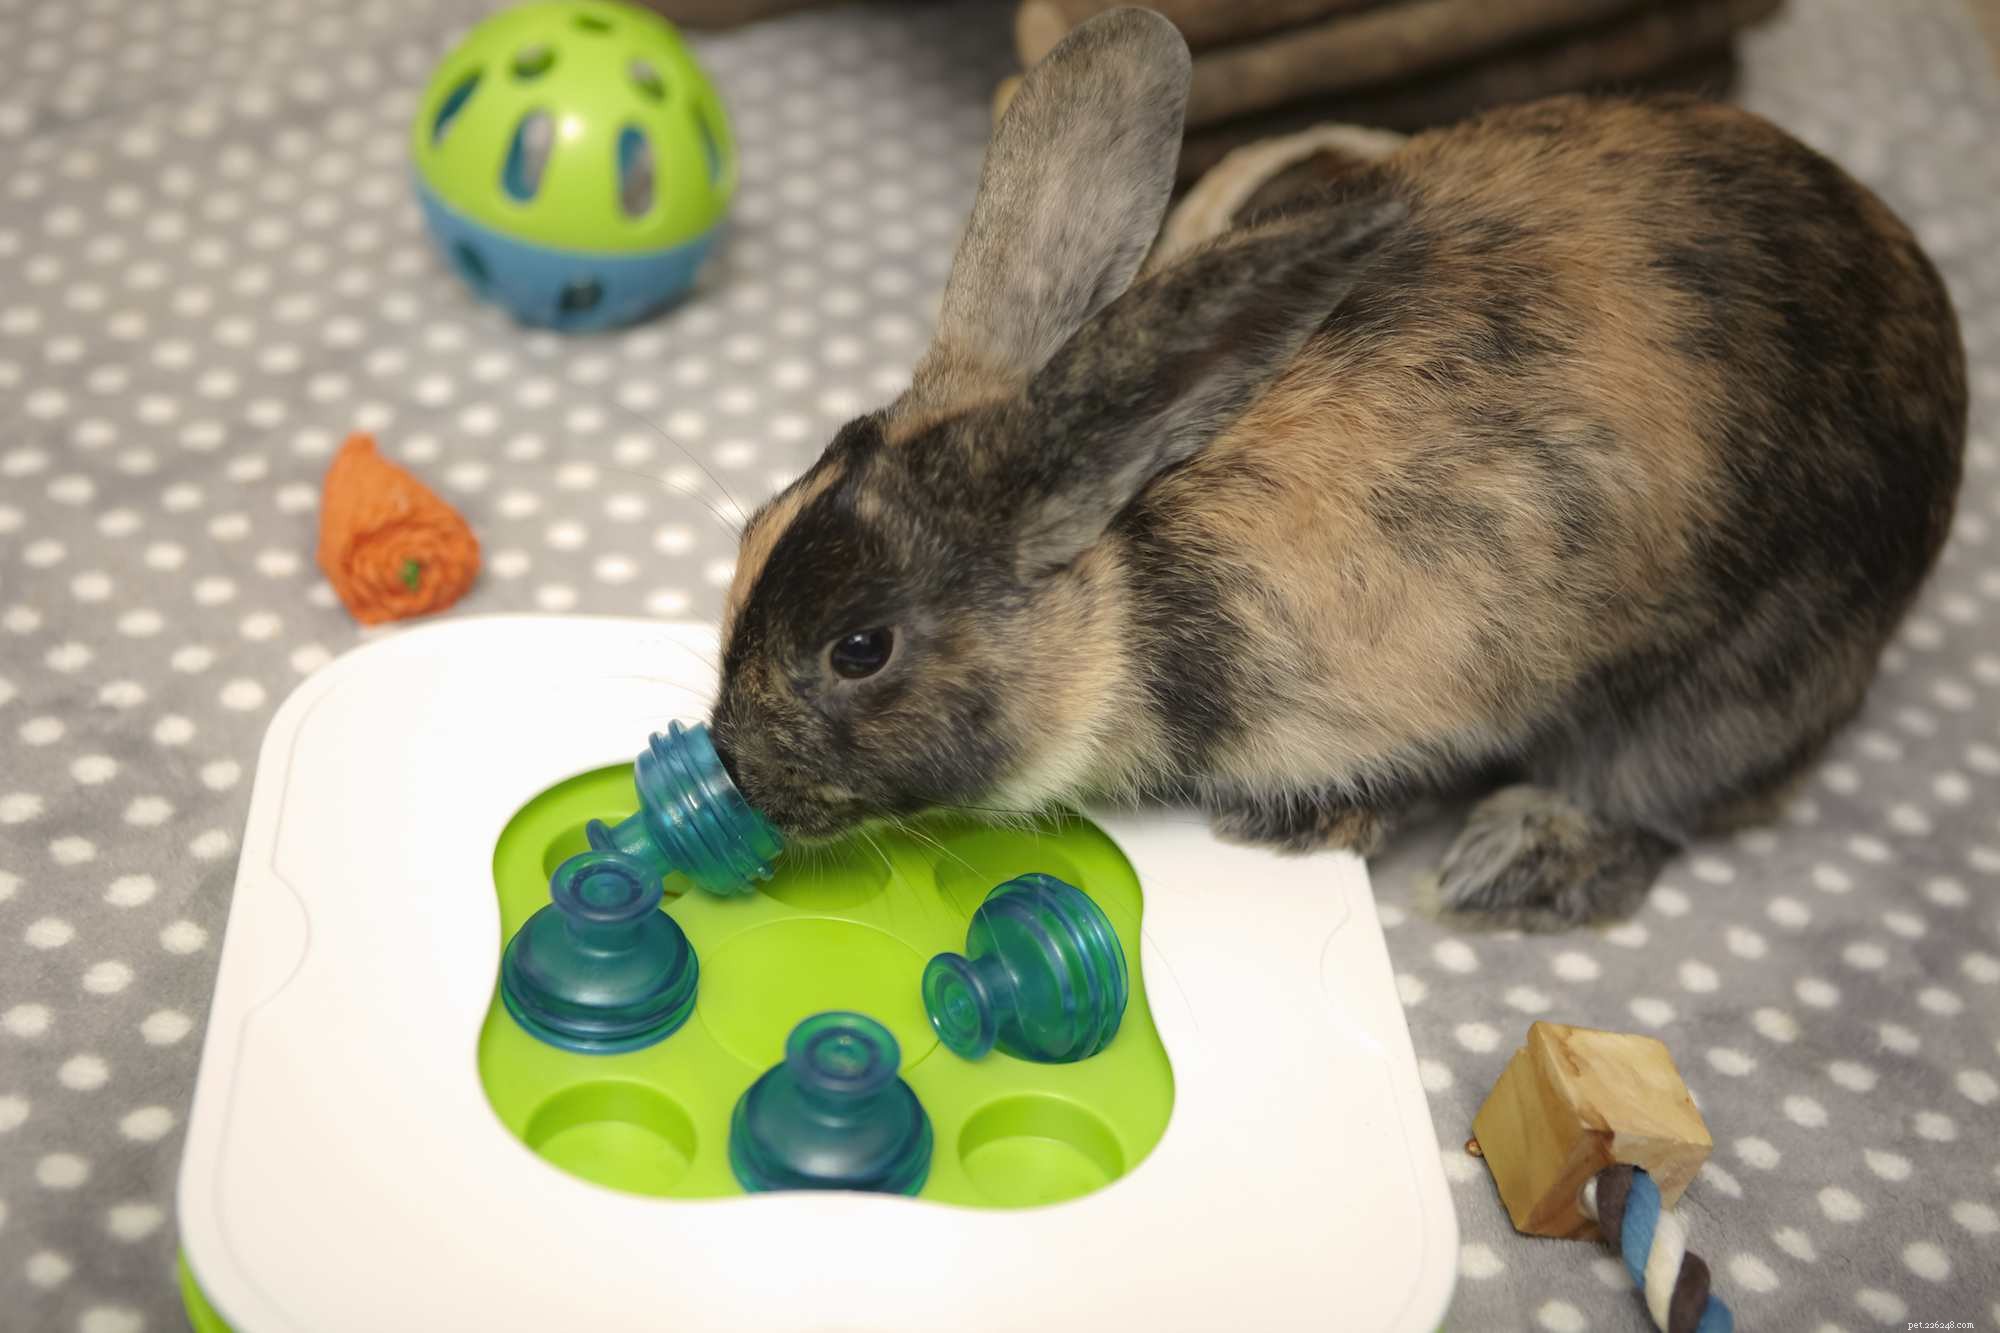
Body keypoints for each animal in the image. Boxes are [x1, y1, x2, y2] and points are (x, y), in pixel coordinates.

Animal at [707, 7, 1966, 930]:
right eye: (753, 530)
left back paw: (1513, 864)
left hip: (1739, 671)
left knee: (1661, 797)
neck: (1121, 574)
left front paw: (1300, 829)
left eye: (861, 648)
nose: (735, 770)